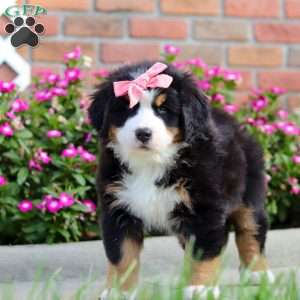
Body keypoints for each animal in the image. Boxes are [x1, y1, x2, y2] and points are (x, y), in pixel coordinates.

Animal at [88, 61, 274, 298]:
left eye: (163, 110)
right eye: (128, 108)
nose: (143, 133)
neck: (151, 163)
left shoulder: (204, 209)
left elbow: (203, 252)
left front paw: (199, 288)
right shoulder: (118, 208)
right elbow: (121, 255)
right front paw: (119, 291)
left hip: (249, 194)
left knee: (251, 231)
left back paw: (257, 272)